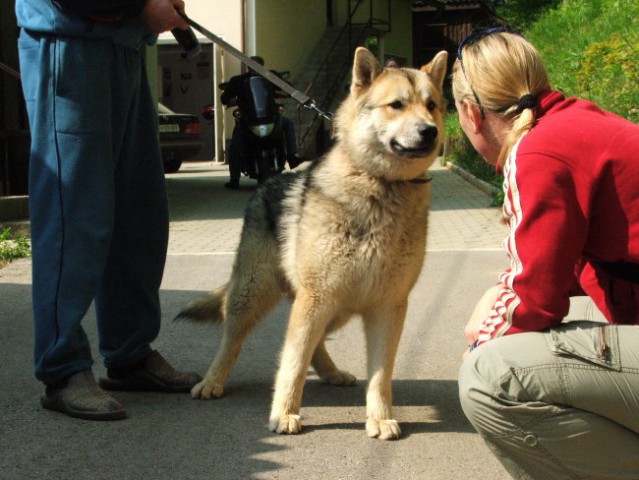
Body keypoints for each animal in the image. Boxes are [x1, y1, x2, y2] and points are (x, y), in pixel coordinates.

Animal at [178, 47, 448, 440]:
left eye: (432, 105)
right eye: (397, 105)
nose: (430, 131)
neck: (379, 185)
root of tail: (268, 181)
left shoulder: (387, 306)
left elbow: (381, 375)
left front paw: (379, 417)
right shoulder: (317, 297)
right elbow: (292, 363)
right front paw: (285, 413)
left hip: (336, 306)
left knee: (318, 343)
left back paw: (332, 373)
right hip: (258, 294)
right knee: (231, 340)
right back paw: (213, 382)